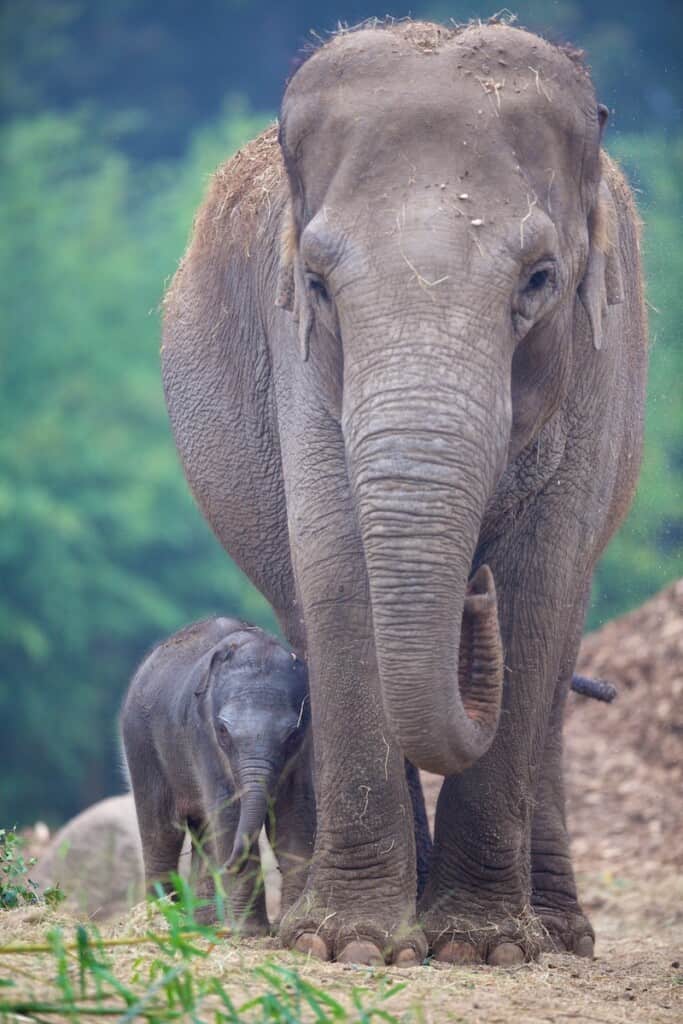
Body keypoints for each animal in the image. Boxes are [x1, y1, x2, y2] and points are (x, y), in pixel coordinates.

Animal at [120, 614, 315, 937]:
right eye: (223, 731)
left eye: (292, 734)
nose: (231, 866)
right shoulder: (203, 738)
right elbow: (229, 814)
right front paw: (249, 931)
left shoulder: (304, 750)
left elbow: (294, 816)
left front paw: (286, 922)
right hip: (140, 742)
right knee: (162, 831)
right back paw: (161, 918)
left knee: (202, 833)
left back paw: (201, 922)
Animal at [160, 24, 647, 966]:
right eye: (316, 284)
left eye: (538, 279)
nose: (470, 593)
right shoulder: (299, 366)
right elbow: (338, 571)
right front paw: (346, 945)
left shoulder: (599, 370)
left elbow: (538, 587)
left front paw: (481, 949)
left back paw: (557, 933)